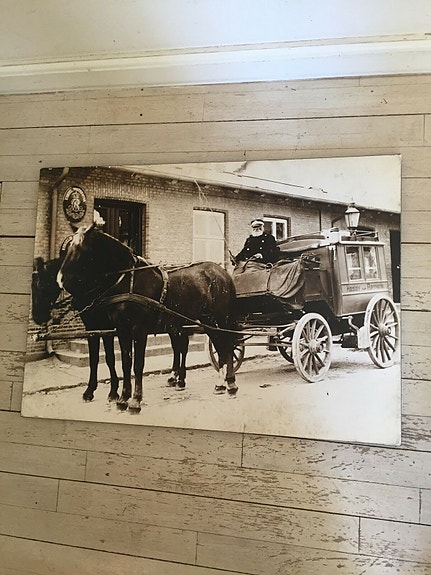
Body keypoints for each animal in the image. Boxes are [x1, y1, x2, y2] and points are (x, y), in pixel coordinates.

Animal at [57, 223, 239, 412]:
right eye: (67, 249)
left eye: (82, 248)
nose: (61, 280)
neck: (129, 280)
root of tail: (222, 272)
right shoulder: (119, 329)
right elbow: (124, 362)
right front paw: (122, 398)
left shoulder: (138, 329)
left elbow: (137, 364)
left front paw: (135, 400)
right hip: (206, 321)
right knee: (217, 345)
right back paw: (219, 384)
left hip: (219, 319)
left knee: (226, 345)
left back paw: (230, 384)